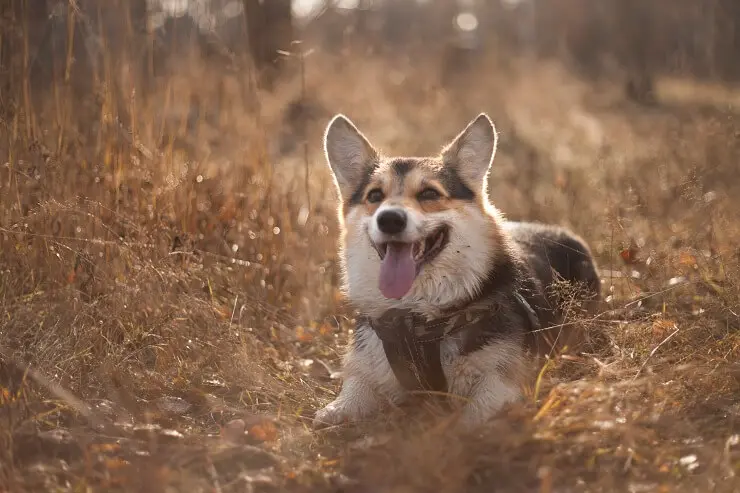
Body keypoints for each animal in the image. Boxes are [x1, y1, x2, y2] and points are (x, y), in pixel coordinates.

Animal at [312, 113, 600, 428]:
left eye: (428, 193)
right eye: (375, 195)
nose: (389, 219)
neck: (417, 319)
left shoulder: (501, 382)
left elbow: (475, 416)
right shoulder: (368, 367)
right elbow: (353, 391)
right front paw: (336, 412)